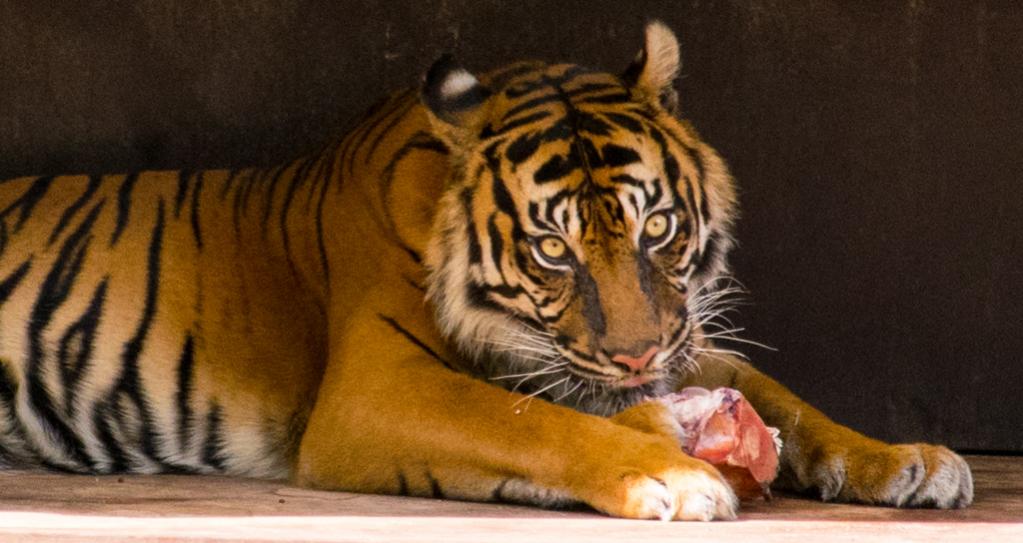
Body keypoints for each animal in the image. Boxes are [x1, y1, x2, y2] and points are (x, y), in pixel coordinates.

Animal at [0, 21, 972, 520]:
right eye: (552, 249)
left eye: (656, 225)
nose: (633, 361)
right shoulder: (374, 388)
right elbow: (528, 420)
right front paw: (670, 473)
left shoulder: (681, 337)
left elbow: (790, 403)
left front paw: (907, 460)